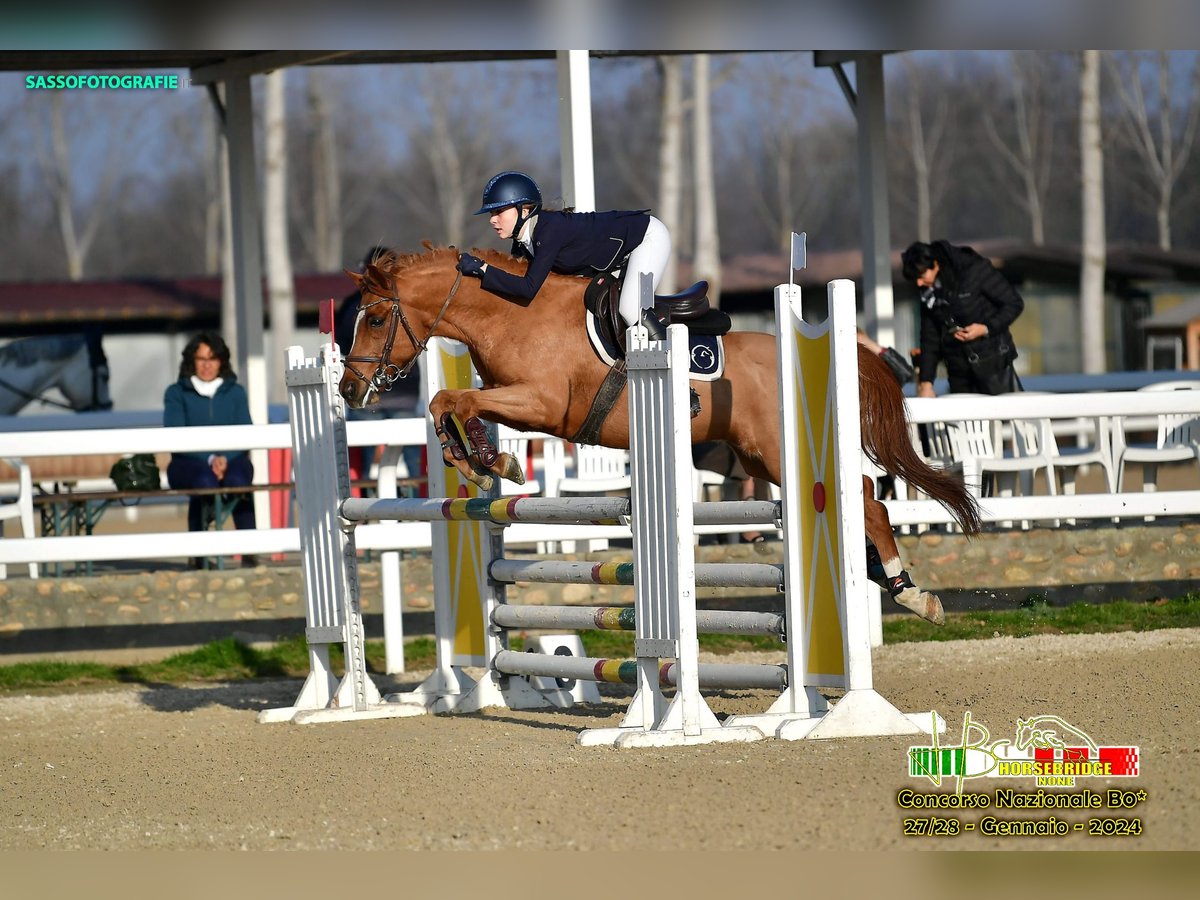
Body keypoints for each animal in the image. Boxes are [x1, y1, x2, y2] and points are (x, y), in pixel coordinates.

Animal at [338, 247, 974, 628]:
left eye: (375, 318)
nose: (348, 388)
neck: (509, 311)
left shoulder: (542, 404)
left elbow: (453, 400)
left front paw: (489, 465)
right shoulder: (517, 404)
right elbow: (449, 404)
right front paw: (483, 461)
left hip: (776, 451)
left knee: (866, 497)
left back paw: (912, 594)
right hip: (756, 459)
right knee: (861, 496)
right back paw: (888, 583)